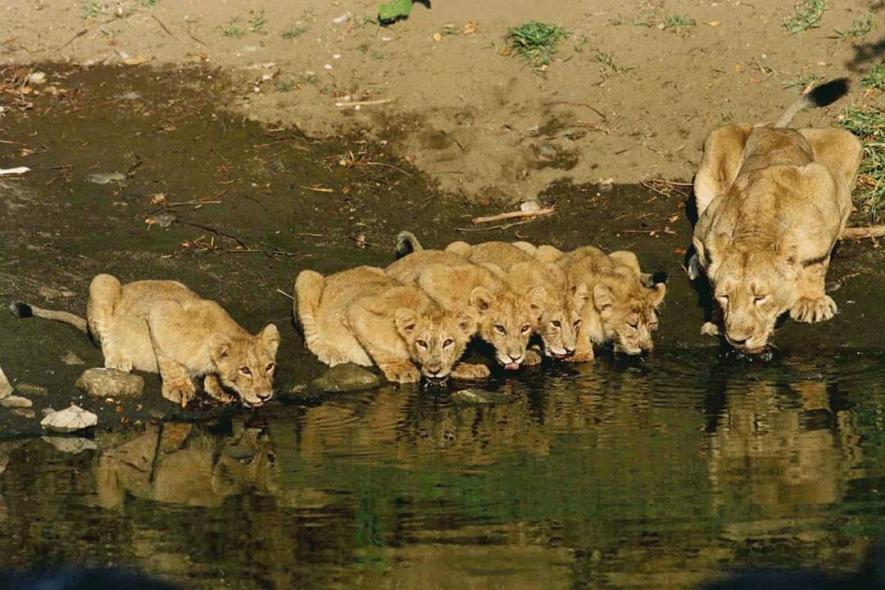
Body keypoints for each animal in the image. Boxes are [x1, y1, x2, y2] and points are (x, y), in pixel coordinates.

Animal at [10, 274, 280, 408]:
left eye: (269, 366)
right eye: (245, 370)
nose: (265, 396)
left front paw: (218, 388)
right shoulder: (159, 313)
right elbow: (169, 360)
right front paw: (179, 388)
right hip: (103, 282)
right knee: (105, 337)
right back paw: (118, 359)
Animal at [293, 266, 485, 383]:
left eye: (448, 342)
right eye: (422, 343)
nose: (434, 369)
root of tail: (336, 275)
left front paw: (466, 368)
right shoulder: (356, 311)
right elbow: (380, 349)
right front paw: (401, 369)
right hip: (307, 277)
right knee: (311, 336)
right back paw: (331, 352)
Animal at [691, 79, 863, 354]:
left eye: (760, 298)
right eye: (725, 296)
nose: (737, 339)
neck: (757, 224)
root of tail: (777, 129)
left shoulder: (827, 188)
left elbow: (815, 265)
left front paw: (811, 302)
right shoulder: (706, 223)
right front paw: (716, 320)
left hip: (848, 140)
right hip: (717, 140)